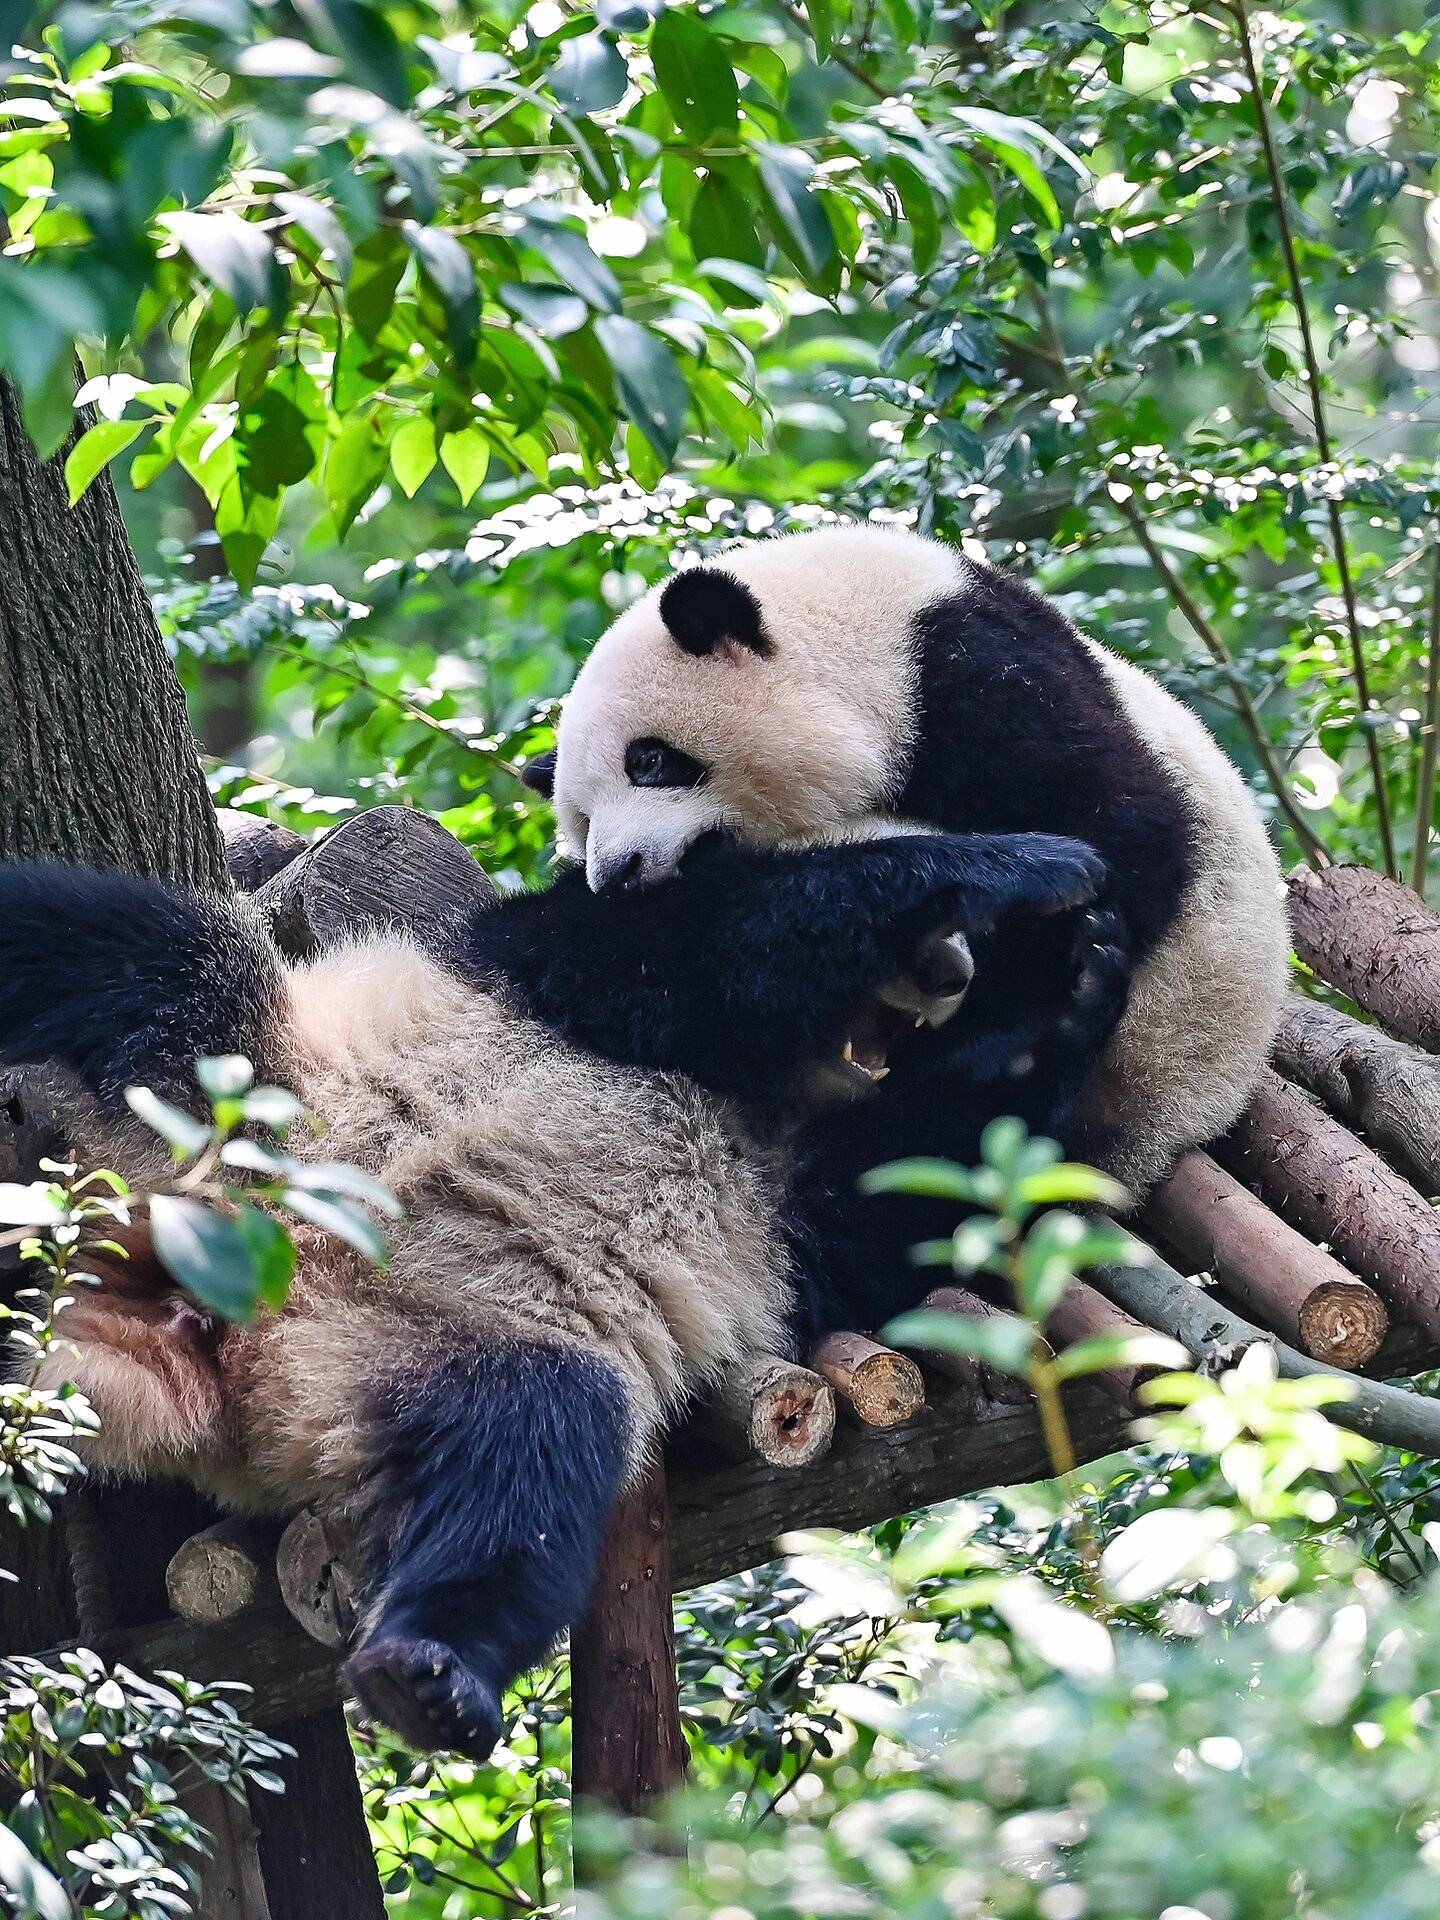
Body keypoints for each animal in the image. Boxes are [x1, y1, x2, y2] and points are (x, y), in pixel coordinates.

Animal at [0, 825, 1128, 1758]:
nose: (952, 968)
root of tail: (208, 1317)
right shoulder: (566, 971)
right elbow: (714, 948)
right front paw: (1040, 878)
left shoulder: (815, 1222)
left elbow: (903, 1188)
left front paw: (1079, 985)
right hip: (235, 1084)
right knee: (118, 948)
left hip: (409, 1344)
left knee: (529, 1452)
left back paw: (426, 1678)